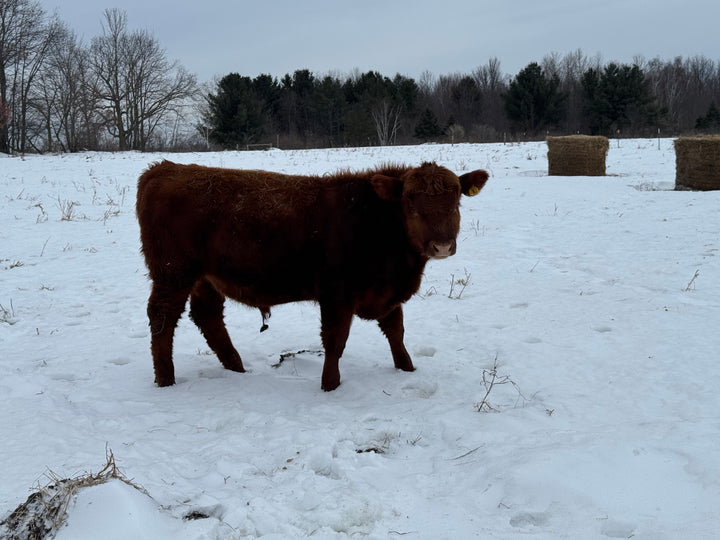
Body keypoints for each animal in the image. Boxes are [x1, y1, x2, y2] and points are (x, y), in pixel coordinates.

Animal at [136, 161, 488, 391]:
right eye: (410, 202)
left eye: (456, 201)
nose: (441, 245)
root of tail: (164, 168)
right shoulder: (337, 293)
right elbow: (335, 339)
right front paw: (330, 384)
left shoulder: (385, 292)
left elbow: (396, 332)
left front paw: (407, 368)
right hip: (173, 273)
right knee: (162, 317)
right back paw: (166, 379)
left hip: (204, 279)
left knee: (206, 316)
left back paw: (236, 368)